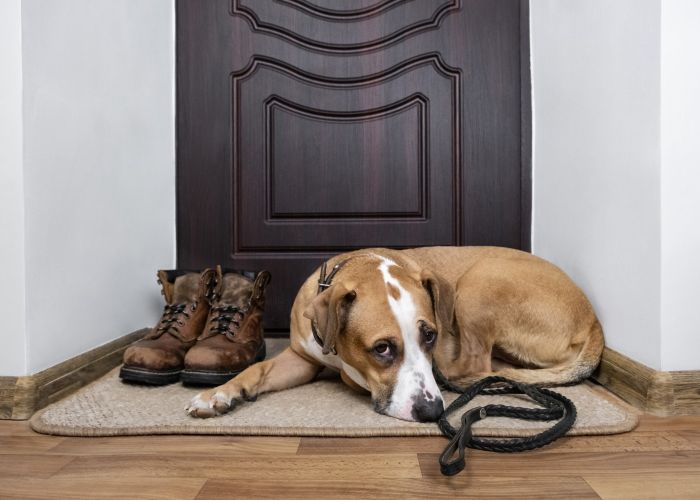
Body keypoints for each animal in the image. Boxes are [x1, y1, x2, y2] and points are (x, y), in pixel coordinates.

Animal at [189, 247, 604, 422]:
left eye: (431, 336)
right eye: (383, 348)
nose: (432, 412)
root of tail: (593, 321)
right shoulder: (301, 359)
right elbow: (255, 371)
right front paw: (219, 394)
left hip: (480, 281)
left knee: (474, 365)